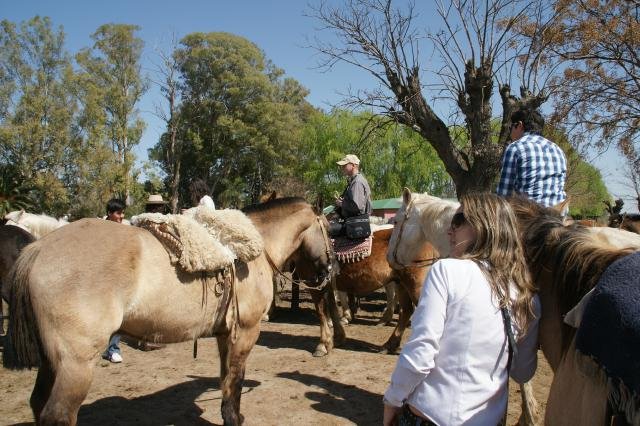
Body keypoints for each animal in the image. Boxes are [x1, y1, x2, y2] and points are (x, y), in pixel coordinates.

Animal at [2, 199, 336, 426]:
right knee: (58, 415)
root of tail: (38, 249)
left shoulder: (224, 334)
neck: (255, 249)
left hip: (52, 362)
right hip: (76, 365)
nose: (330, 267)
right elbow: (237, 378)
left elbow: (225, 378)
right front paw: (233, 417)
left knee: (37, 403)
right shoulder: (246, 331)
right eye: (329, 229)